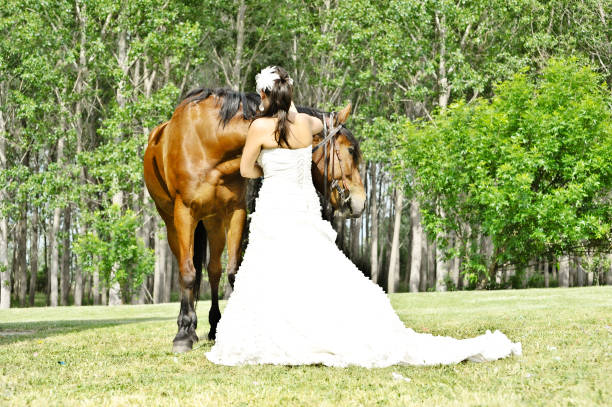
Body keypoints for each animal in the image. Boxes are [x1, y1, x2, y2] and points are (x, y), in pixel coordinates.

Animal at [143, 89, 364, 354]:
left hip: (213, 222)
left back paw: (214, 326)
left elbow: (232, 272)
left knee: (214, 271)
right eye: (350, 150)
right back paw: (189, 327)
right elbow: (187, 274)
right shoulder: (184, 213)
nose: (361, 202)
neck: (210, 141)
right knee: (188, 268)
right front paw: (183, 334)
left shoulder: (235, 211)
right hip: (173, 224)